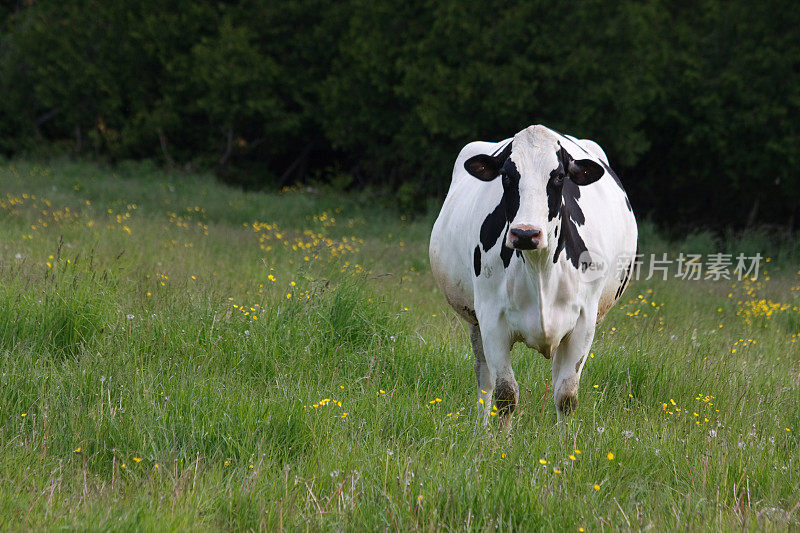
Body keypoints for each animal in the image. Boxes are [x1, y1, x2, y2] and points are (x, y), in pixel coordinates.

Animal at [432, 122, 636, 426]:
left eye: (559, 176)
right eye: (507, 175)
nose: (526, 233)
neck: (540, 269)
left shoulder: (584, 322)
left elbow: (566, 396)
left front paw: (566, 440)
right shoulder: (491, 319)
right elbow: (506, 393)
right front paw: (497, 440)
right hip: (474, 321)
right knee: (484, 379)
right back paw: (480, 430)